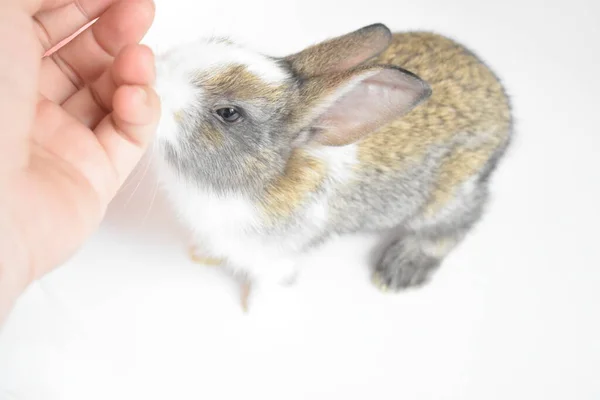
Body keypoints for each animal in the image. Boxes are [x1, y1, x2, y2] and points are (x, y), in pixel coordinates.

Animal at [152, 23, 512, 310]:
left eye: (228, 113)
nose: (156, 79)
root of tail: (504, 109)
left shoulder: (275, 258)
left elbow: (270, 282)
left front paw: (254, 312)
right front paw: (203, 254)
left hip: (451, 191)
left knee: (459, 219)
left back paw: (398, 271)